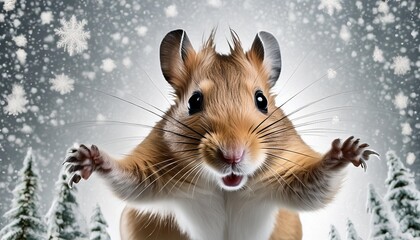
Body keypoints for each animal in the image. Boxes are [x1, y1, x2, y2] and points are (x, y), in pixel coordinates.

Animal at [64, 29, 378, 239]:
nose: (232, 155)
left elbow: (315, 184)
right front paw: (88, 159)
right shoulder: (156, 167)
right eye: (194, 101)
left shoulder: (287, 170)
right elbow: (130, 179)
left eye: (262, 100)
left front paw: (348, 151)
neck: (226, 188)